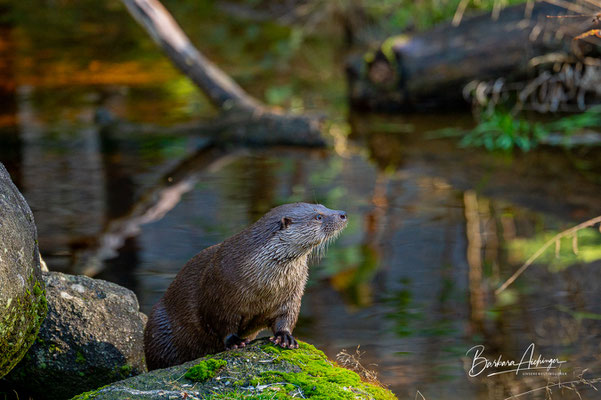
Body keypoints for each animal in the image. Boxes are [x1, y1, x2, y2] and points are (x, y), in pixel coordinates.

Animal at [143, 202, 346, 370]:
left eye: (324, 206)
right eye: (318, 216)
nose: (343, 214)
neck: (266, 285)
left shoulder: (293, 293)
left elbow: (287, 316)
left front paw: (285, 337)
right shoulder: (219, 292)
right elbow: (221, 322)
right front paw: (234, 342)